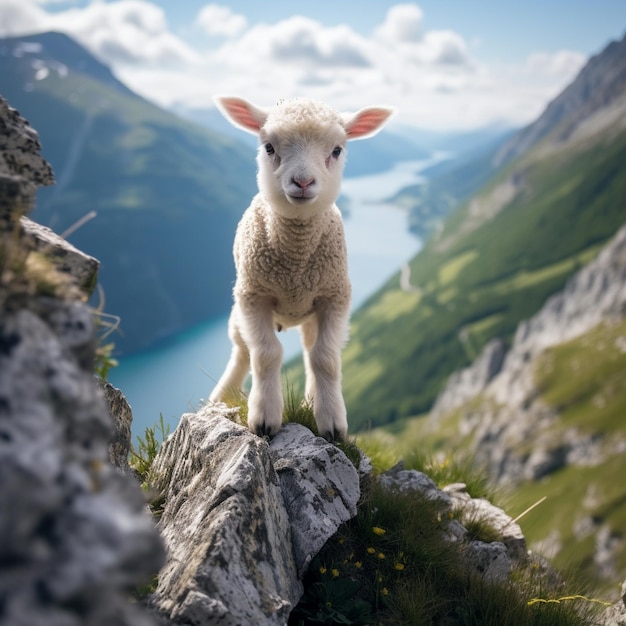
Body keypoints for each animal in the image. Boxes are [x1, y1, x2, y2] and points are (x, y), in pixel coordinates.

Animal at [210, 96, 394, 438]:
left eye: (337, 150)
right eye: (269, 147)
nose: (303, 182)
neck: (295, 261)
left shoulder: (335, 296)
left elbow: (325, 359)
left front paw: (332, 422)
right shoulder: (253, 295)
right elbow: (266, 354)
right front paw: (264, 418)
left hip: (312, 314)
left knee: (310, 351)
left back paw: (312, 400)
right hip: (237, 315)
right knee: (242, 352)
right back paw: (219, 398)